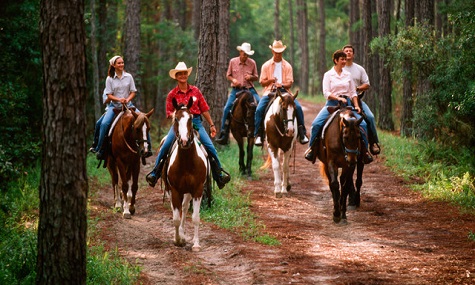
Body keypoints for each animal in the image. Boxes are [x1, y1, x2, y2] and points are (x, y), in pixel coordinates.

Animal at [165, 96, 207, 250]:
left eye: (190, 118)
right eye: (176, 119)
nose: (184, 141)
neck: (187, 162)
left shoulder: (197, 190)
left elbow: (195, 217)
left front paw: (196, 244)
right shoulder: (175, 190)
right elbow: (176, 218)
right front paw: (178, 240)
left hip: (188, 192)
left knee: (184, 206)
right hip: (171, 190)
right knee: (176, 209)